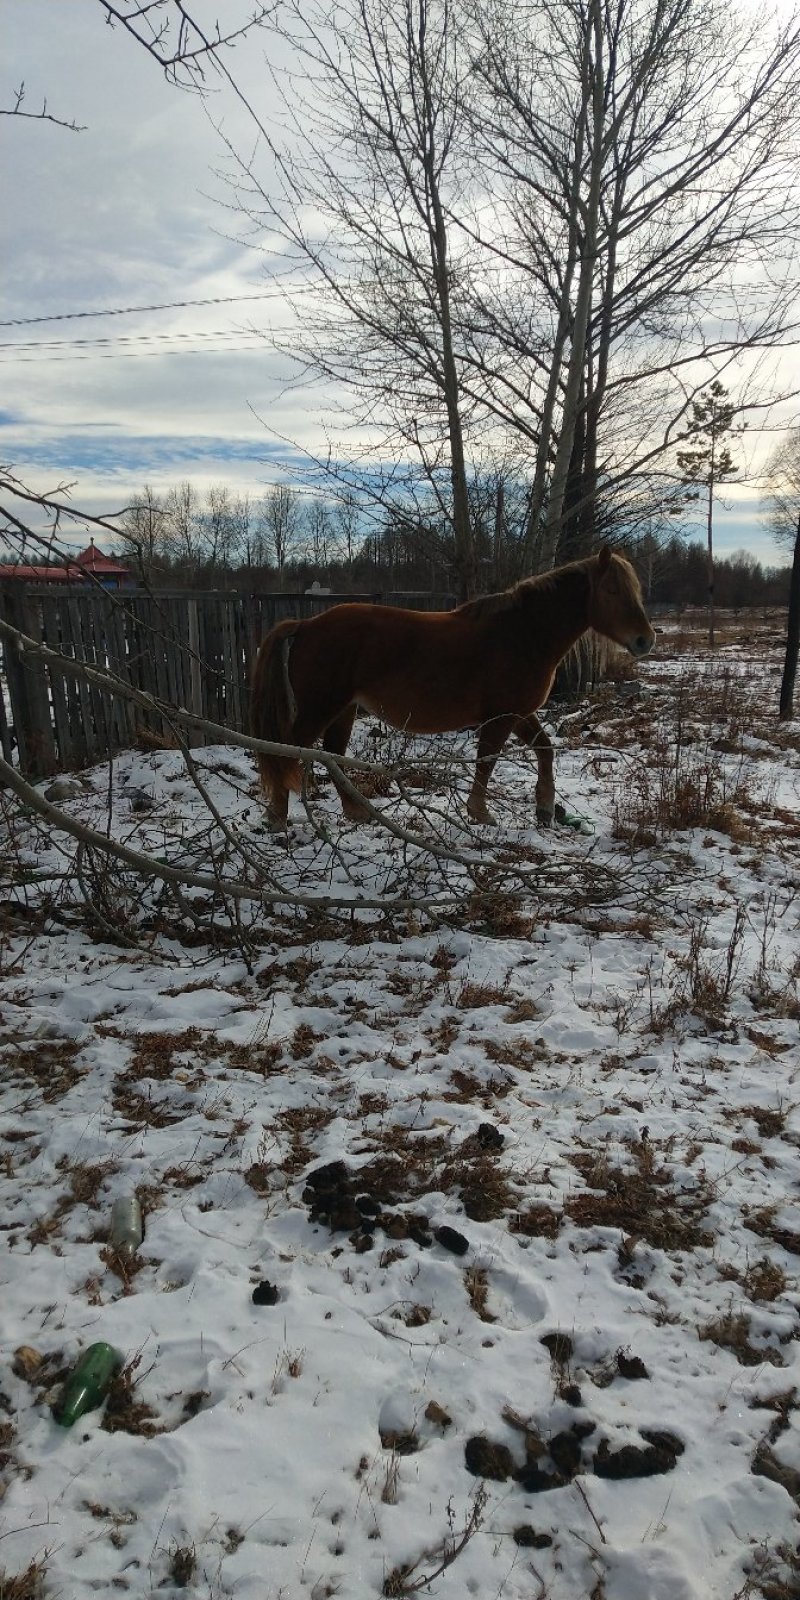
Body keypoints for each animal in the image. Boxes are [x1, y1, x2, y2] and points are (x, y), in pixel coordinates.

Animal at [251, 545, 655, 829]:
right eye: (612, 590)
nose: (644, 640)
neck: (523, 634)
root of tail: (306, 625)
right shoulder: (501, 717)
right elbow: (487, 761)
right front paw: (480, 813)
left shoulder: (519, 713)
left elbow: (545, 750)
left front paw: (543, 808)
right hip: (320, 707)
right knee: (285, 752)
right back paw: (277, 818)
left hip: (343, 709)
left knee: (330, 754)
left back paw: (354, 811)